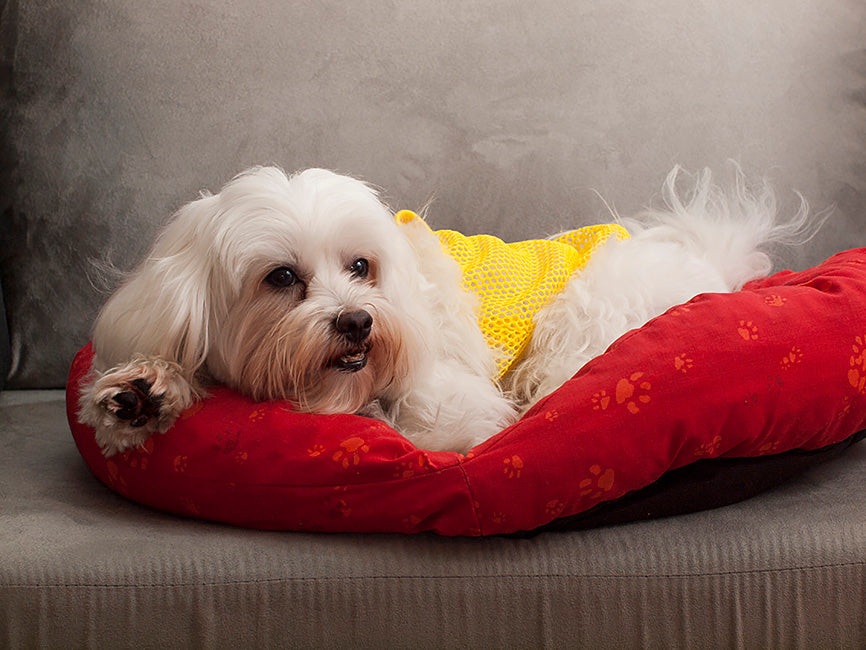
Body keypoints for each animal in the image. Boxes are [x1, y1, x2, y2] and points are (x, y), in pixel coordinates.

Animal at [77, 165, 808, 454]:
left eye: (361, 267)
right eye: (281, 277)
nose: (357, 321)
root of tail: (709, 263)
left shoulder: (456, 405)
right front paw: (141, 393)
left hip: (581, 325)